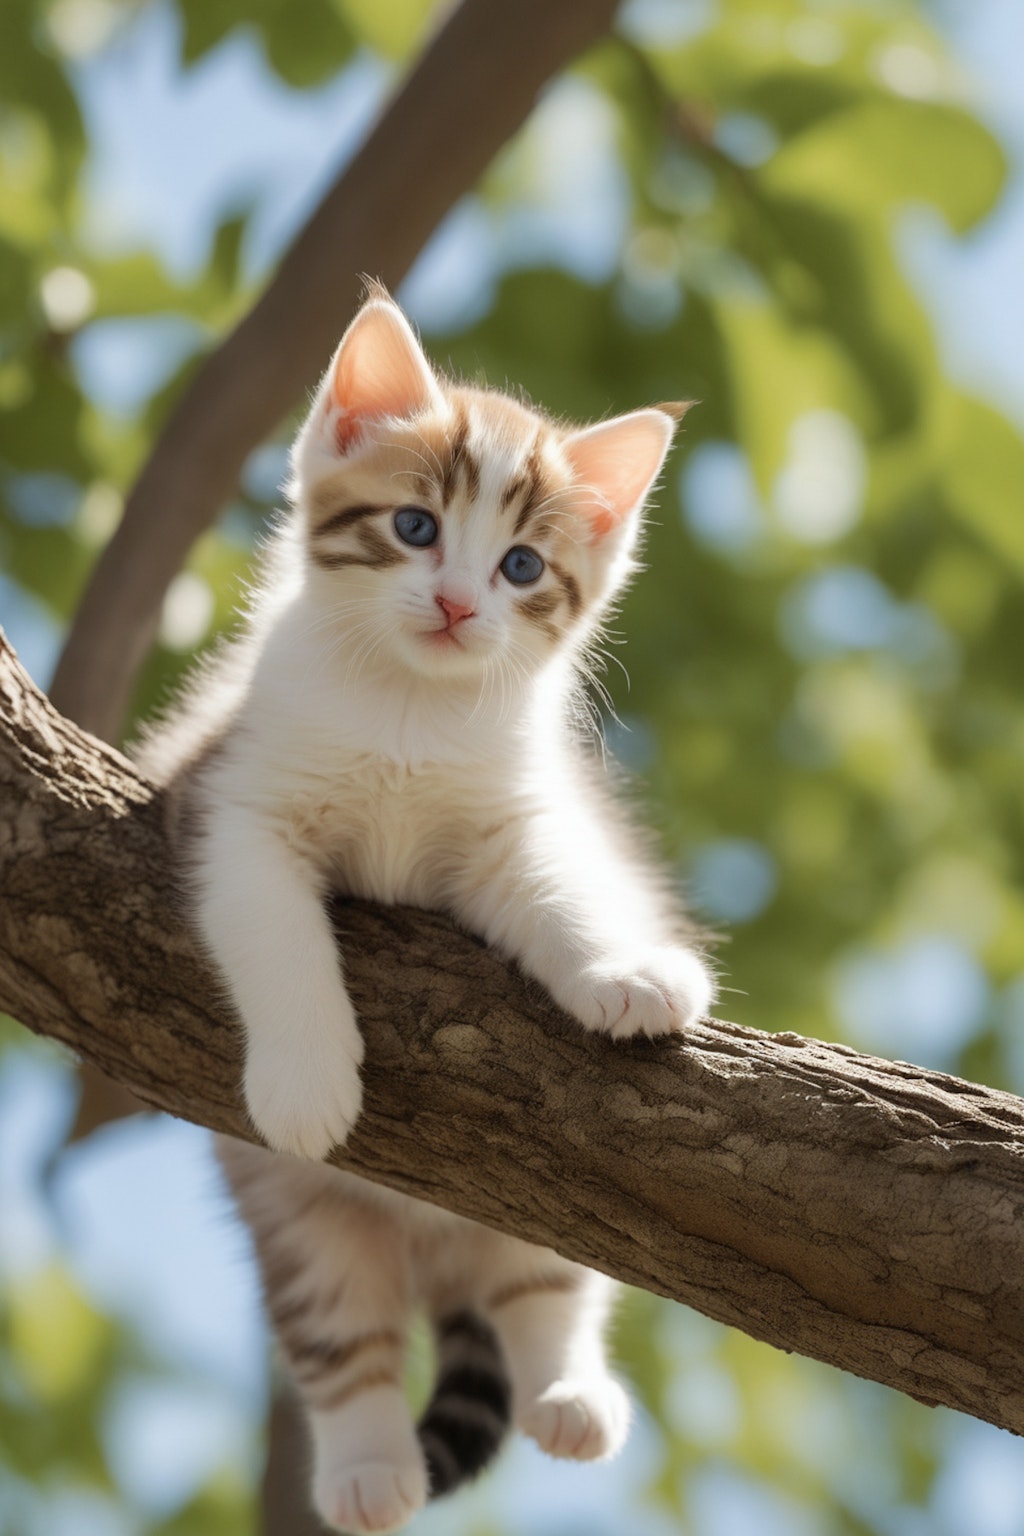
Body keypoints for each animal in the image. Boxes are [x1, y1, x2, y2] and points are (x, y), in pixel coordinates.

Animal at [140, 282, 718, 1529]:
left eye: (520, 567)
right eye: (414, 530)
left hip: (546, 1220)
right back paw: (366, 1467)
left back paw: (569, 1393)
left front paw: (625, 971)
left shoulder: (511, 825)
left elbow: (559, 892)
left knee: (545, 1287)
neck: (406, 704)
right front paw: (309, 1076)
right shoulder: (231, 805)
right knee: (337, 1329)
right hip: (296, 1218)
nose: (456, 605)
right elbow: (275, 928)